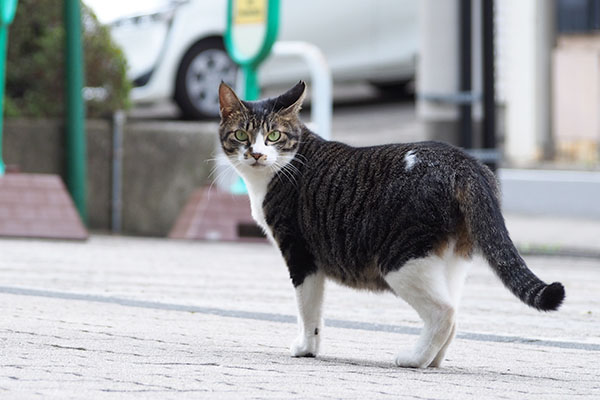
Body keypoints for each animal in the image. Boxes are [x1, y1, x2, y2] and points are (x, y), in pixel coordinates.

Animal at [218, 81, 564, 368]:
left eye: (274, 136)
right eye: (241, 135)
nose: (256, 154)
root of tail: (463, 162)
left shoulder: (300, 254)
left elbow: (308, 309)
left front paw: (306, 348)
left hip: (402, 261)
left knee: (445, 313)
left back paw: (414, 359)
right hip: (452, 260)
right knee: (453, 313)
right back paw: (433, 361)